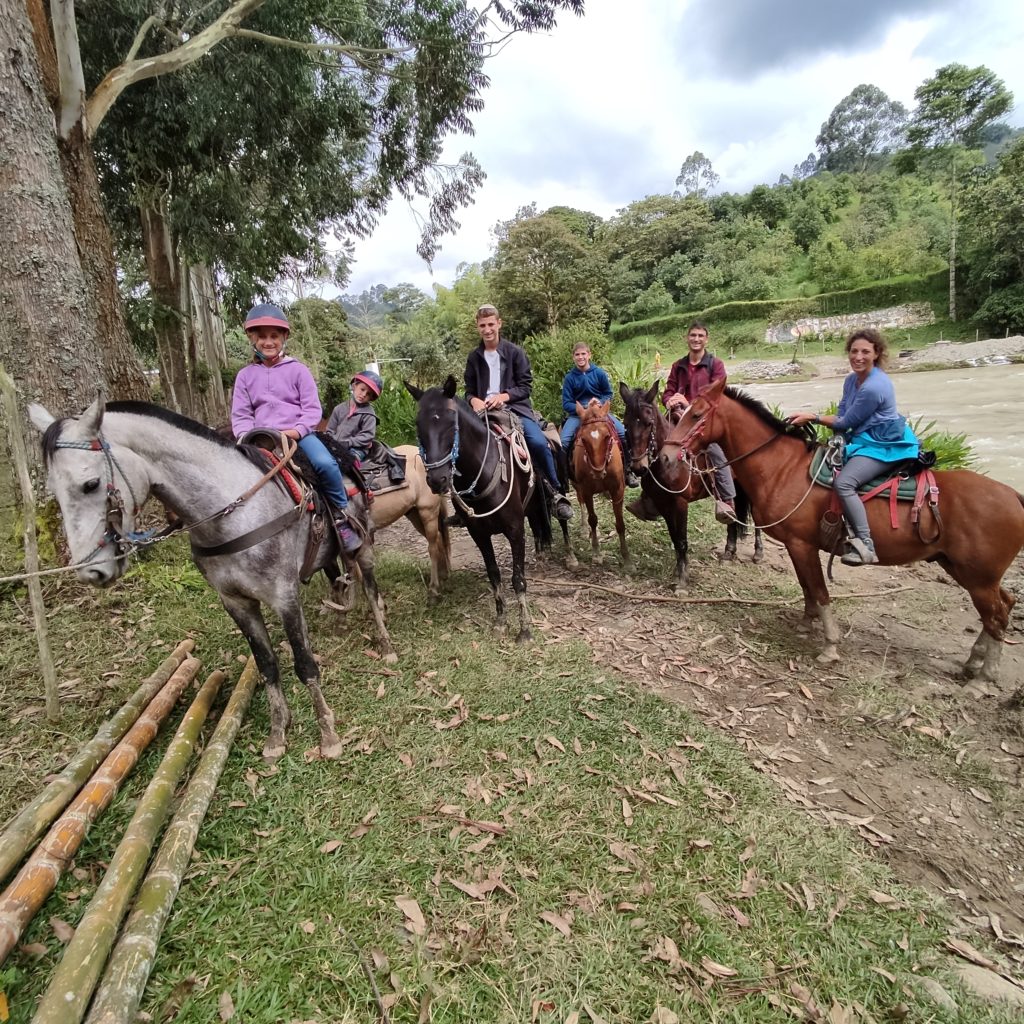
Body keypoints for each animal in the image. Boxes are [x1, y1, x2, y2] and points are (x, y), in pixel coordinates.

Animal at [618, 382, 765, 593]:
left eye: (649, 423)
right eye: (626, 424)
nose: (639, 468)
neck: (667, 464)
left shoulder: (680, 502)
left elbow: (681, 541)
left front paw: (682, 579)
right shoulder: (663, 504)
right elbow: (674, 537)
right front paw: (678, 570)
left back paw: (758, 552)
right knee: (732, 516)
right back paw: (729, 552)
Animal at [659, 380, 1024, 684]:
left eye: (697, 415)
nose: (665, 456)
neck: (782, 467)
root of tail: (1015, 496)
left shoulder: (801, 544)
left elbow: (820, 591)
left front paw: (830, 646)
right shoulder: (798, 545)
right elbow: (806, 587)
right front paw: (806, 624)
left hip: (978, 577)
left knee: (997, 617)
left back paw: (983, 678)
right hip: (964, 569)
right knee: (1003, 606)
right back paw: (974, 661)